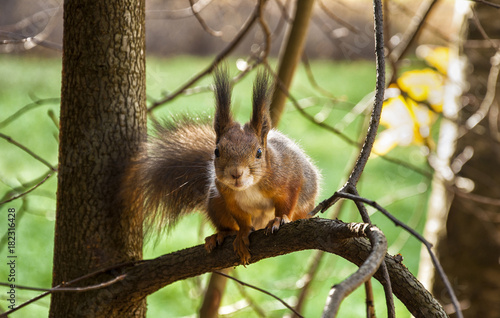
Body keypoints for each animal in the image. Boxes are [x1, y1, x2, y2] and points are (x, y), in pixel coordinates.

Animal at [125, 66, 320, 264]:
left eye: (259, 152)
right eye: (217, 151)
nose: (236, 173)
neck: (249, 187)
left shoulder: (289, 176)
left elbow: (288, 200)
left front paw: (279, 219)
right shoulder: (227, 196)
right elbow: (241, 218)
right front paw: (242, 234)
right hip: (215, 202)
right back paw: (222, 234)